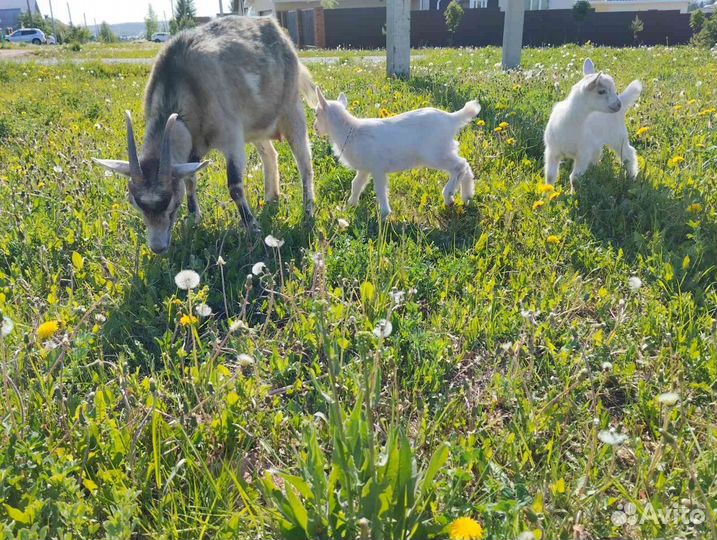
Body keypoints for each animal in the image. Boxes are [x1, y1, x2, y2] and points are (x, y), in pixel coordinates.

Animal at [93, 16, 317, 254]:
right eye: (134, 201)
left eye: (170, 199)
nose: (157, 247)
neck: (183, 82)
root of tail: (274, 26)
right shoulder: (194, 145)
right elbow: (190, 179)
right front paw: (194, 218)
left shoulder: (231, 136)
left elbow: (234, 186)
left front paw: (253, 228)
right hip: (257, 126)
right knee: (270, 155)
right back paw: (271, 197)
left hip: (291, 108)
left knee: (304, 161)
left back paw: (307, 211)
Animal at [312, 88, 480, 218]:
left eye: (316, 114)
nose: (315, 129)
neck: (351, 130)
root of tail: (451, 118)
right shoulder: (365, 168)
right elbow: (356, 184)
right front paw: (350, 206)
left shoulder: (377, 168)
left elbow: (380, 190)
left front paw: (384, 214)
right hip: (445, 150)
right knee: (465, 166)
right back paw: (466, 197)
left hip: (435, 154)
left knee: (460, 166)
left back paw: (448, 196)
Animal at [544, 58, 642, 193]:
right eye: (601, 91)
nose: (618, 104)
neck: (571, 123)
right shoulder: (552, 151)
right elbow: (550, 176)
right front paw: (547, 195)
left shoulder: (583, 154)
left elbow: (574, 178)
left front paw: (573, 193)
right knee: (598, 152)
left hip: (618, 137)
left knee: (628, 153)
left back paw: (632, 176)